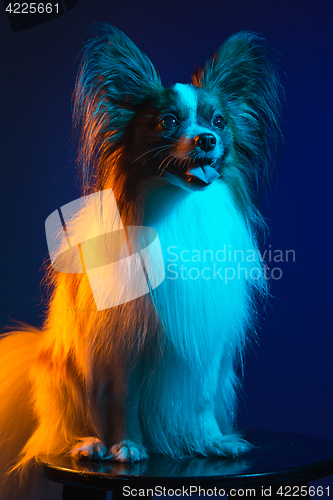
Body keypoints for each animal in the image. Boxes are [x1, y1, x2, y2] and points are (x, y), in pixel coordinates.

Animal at [0, 25, 282, 498]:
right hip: (64, 375)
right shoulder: (122, 344)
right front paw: (127, 446)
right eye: (168, 122)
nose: (207, 140)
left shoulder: (205, 338)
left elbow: (202, 397)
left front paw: (210, 440)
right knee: (62, 429)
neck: (179, 207)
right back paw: (91, 443)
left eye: (218, 122)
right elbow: (122, 400)